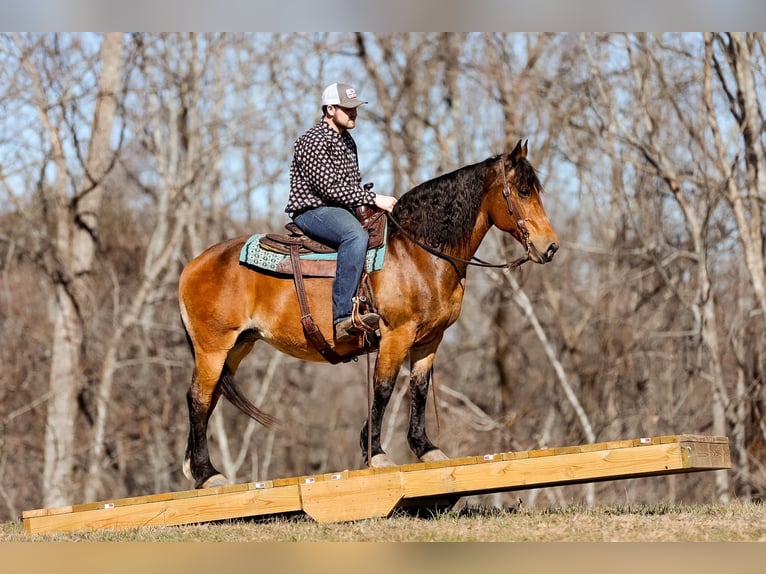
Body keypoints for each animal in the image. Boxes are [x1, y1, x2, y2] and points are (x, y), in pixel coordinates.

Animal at [178, 138, 560, 486]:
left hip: (237, 346)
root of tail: (192, 266)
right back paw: (208, 473)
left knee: (209, 397)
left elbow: (418, 389)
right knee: (198, 398)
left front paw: (425, 448)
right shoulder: (396, 333)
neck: (418, 252)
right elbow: (384, 387)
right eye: (523, 191)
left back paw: (194, 468)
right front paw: (376, 453)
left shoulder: (429, 339)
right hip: (213, 347)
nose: (551, 247)